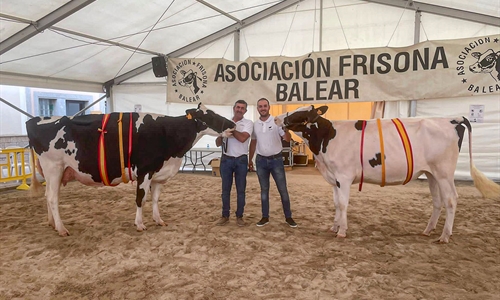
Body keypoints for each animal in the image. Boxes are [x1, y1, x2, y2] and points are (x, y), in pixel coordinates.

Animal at [27, 103, 236, 237]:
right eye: (209, 115)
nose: (232, 125)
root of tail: (34, 121)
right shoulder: (145, 170)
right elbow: (140, 198)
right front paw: (140, 224)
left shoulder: (158, 173)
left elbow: (155, 199)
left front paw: (158, 220)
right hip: (54, 167)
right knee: (52, 198)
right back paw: (61, 229)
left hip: (56, 172)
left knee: (48, 195)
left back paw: (52, 224)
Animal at [276, 105, 498, 244]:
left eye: (299, 115)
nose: (277, 117)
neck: (327, 138)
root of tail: (453, 119)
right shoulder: (334, 178)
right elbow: (336, 203)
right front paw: (334, 226)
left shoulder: (344, 177)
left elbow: (343, 204)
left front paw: (342, 231)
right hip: (431, 173)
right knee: (438, 200)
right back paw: (428, 230)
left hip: (444, 172)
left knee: (451, 199)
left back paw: (444, 236)